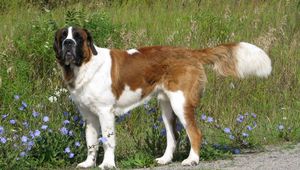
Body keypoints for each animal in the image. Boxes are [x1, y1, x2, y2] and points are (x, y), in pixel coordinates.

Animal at [53, 26, 272, 169]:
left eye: (78, 37)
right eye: (63, 36)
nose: (68, 43)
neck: (84, 65)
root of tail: (190, 52)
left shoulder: (105, 112)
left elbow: (107, 140)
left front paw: (107, 164)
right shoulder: (89, 116)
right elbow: (91, 141)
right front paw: (88, 163)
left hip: (180, 103)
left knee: (195, 133)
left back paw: (192, 160)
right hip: (166, 106)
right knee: (173, 135)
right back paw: (165, 159)